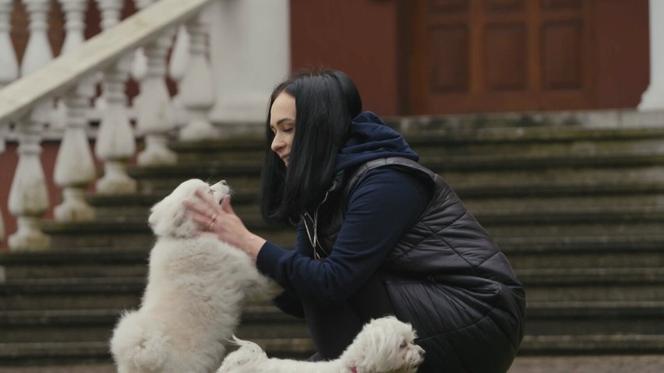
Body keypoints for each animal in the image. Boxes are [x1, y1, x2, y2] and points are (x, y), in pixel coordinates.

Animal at [110, 178, 276, 372]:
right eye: (209, 191)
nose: (224, 181)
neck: (186, 236)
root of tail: (142, 357)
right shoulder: (245, 271)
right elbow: (266, 282)